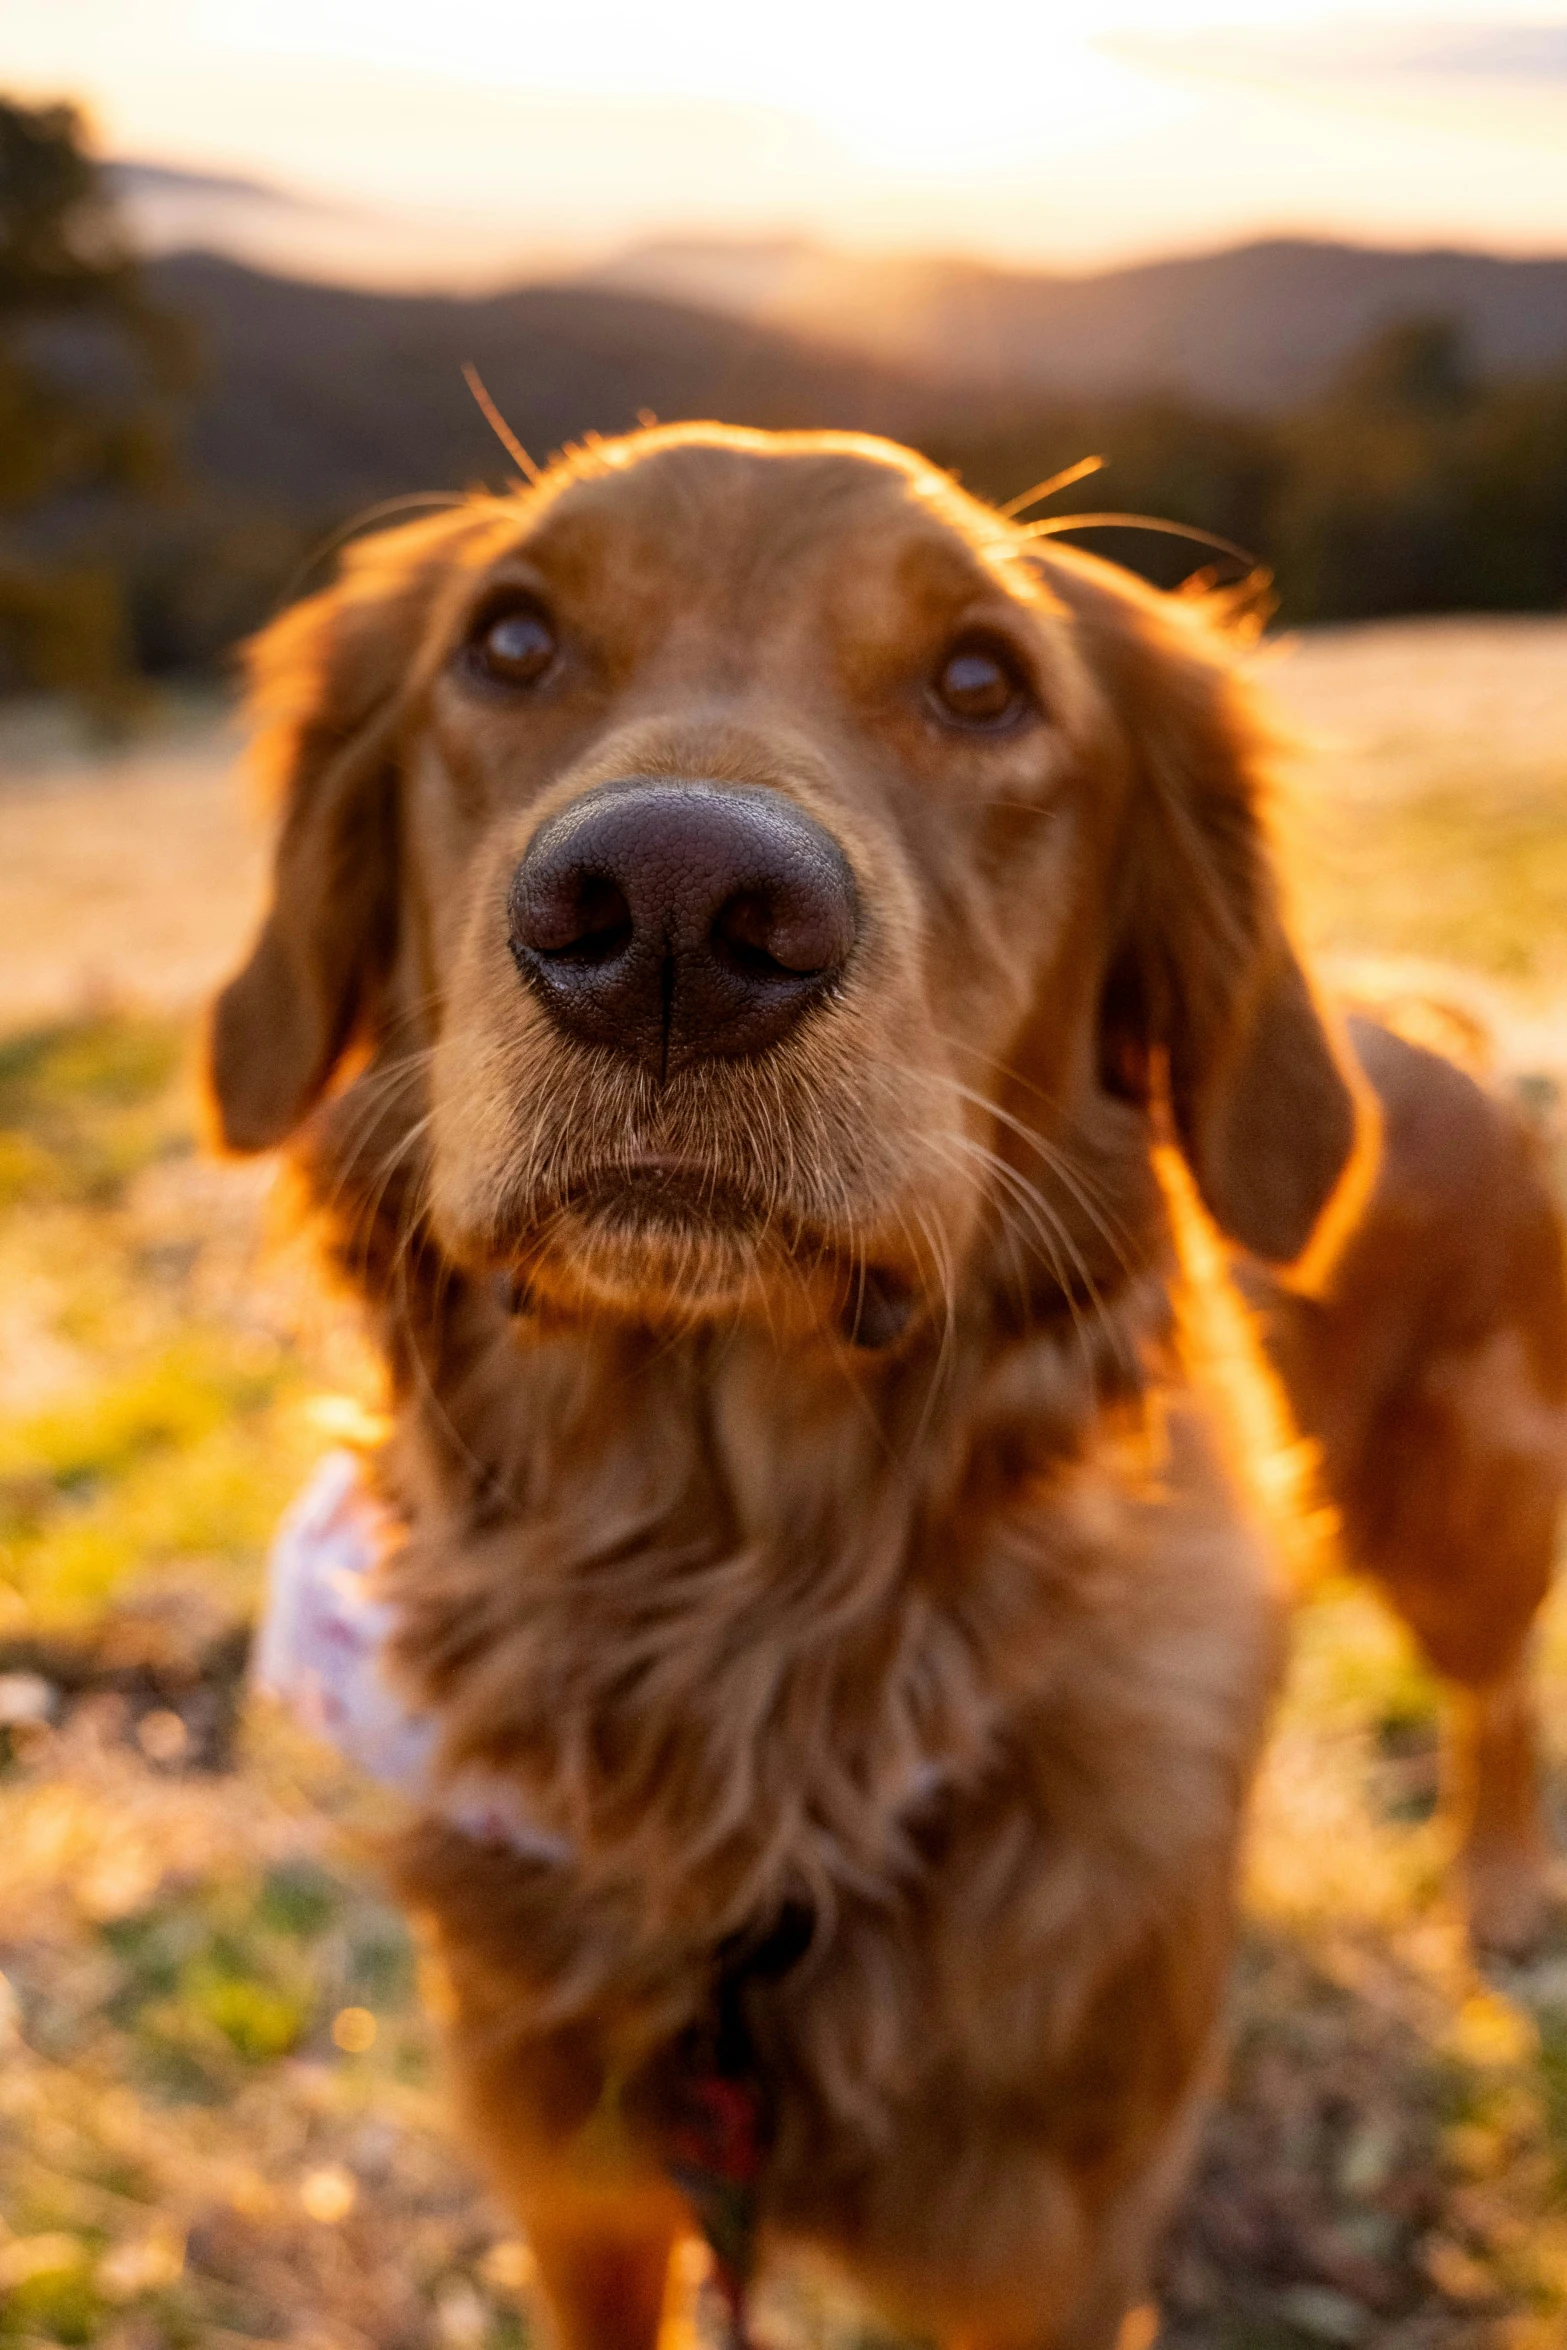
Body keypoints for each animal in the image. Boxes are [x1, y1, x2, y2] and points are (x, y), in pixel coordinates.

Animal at [211, 427, 1567, 2350]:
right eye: (511, 643)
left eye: (981, 681)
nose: (673, 910)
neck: (733, 1652)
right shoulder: (584, 2198)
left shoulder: (1049, 2262)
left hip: (1458, 1515)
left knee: (1493, 1689)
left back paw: (1505, 1883)